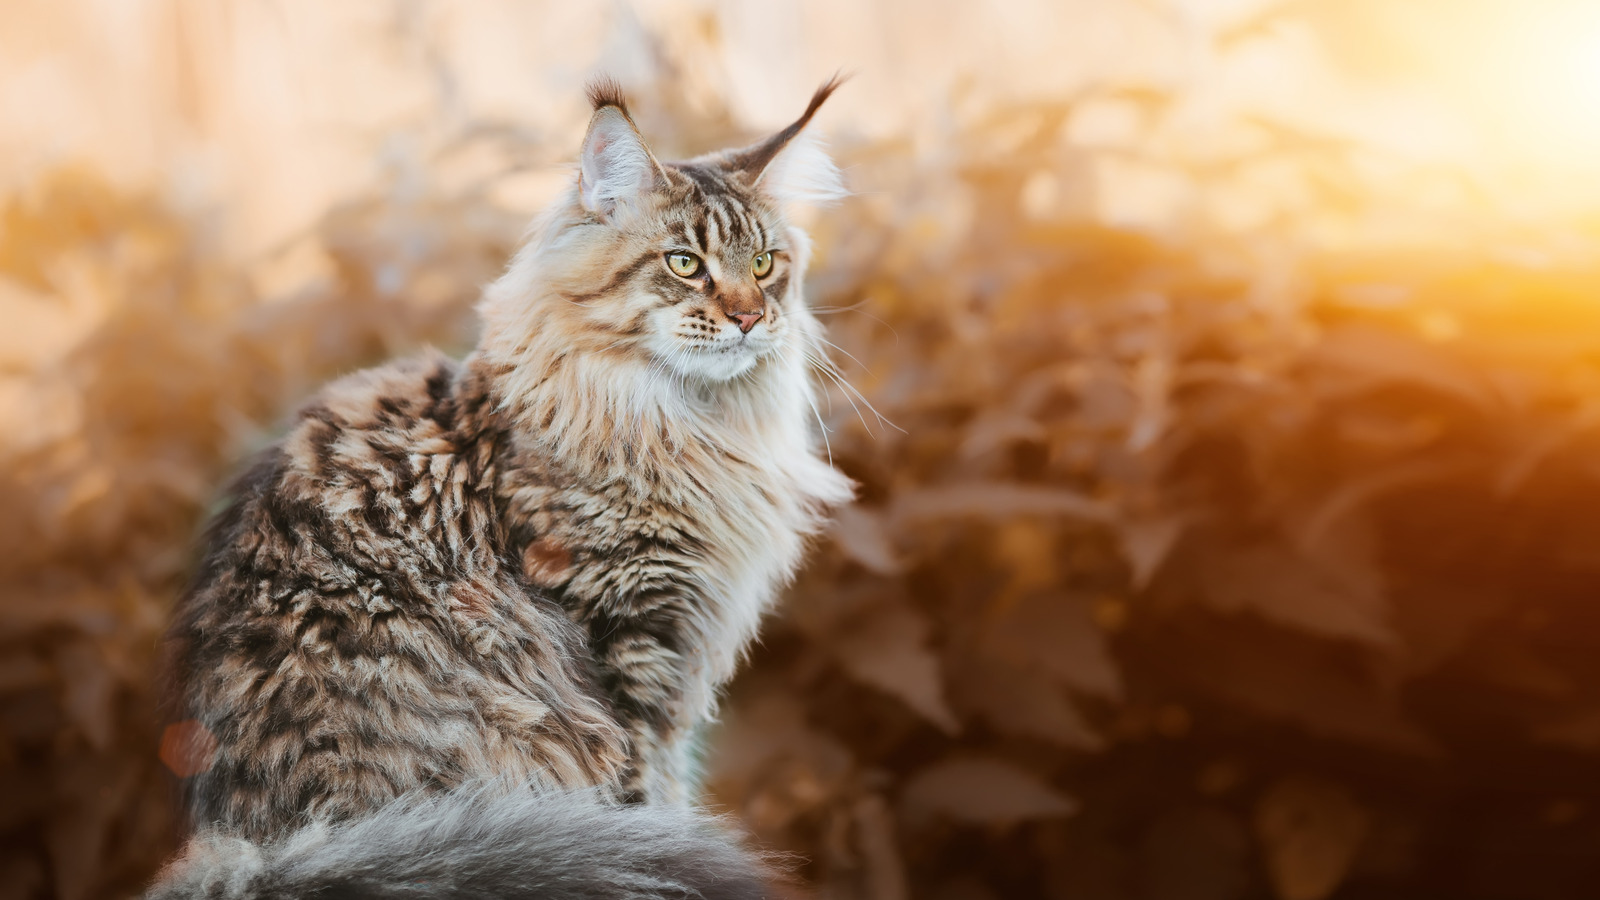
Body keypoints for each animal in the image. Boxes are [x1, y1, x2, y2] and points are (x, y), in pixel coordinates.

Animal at [144, 73, 857, 890]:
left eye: (766, 263)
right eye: (684, 263)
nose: (748, 318)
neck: (685, 426)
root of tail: (261, 852)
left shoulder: (680, 657)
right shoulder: (627, 642)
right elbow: (649, 801)